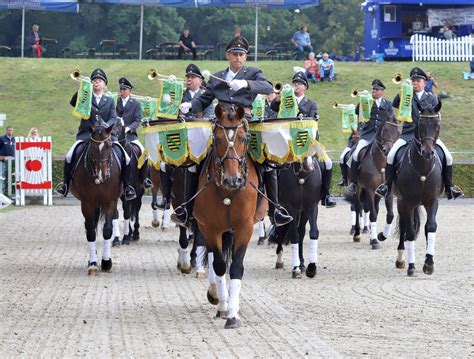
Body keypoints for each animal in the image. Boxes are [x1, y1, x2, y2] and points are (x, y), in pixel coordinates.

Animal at [70, 117, 123, 276]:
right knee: (91, 227)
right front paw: (93, 263)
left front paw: (106, 262)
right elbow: (90, 232)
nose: (102, 175)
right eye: (92, 147)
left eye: (109, 145)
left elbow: (107, 230)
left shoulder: (110, 201)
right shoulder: (87, 203)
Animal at [193, 103, 266, 330]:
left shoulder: (245, 227)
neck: (227, 192)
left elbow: (236, 267)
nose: (232, 179)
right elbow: (218, 265)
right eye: (217, 139)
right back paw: (216, 296)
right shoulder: (210, 228)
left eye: (243, 138)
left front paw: (233, 314)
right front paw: (224, 306)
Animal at [346, 112, 402, 250]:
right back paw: (357, 233)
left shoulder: (387, 192)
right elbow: (373, 214)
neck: (381, 164)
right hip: (358, 187)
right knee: (358, 207)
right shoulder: (370, 190)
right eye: (386, 129)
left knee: (371, 207)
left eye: (399, 132)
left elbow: (390, 215)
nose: (388, 151)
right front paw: (374, 241)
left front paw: (381, 236)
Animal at [388, 102, 444, 278]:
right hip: (401, 202)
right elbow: (410, 232)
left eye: (437, 125)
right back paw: (401, 259)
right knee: (405, 226)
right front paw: (411, 266)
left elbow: (431, 227)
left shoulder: (432, 201)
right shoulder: (408, 202)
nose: (427, 152)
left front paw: (429, 263)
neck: (423, 169)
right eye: (420, 124)